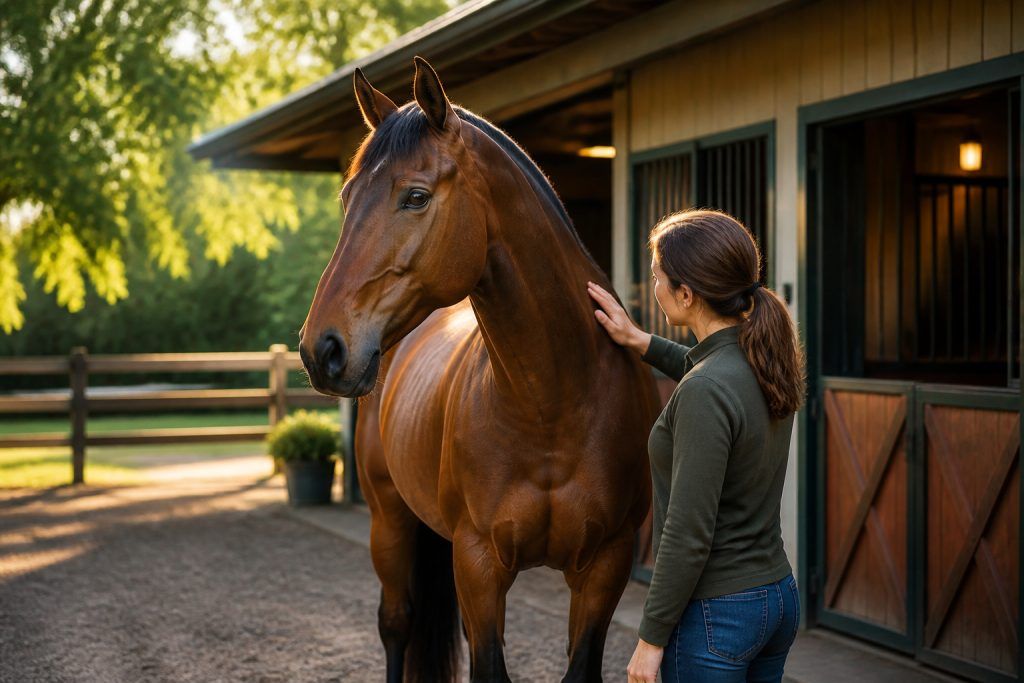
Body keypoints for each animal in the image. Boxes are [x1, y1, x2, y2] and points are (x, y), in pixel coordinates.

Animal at [299, 57, 659, 683]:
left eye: (416, 197)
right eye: (346, 199)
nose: (322, 350)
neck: (554, 403)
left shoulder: (604, 569)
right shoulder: (479, 564)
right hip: (388, 520)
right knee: (396, 625)